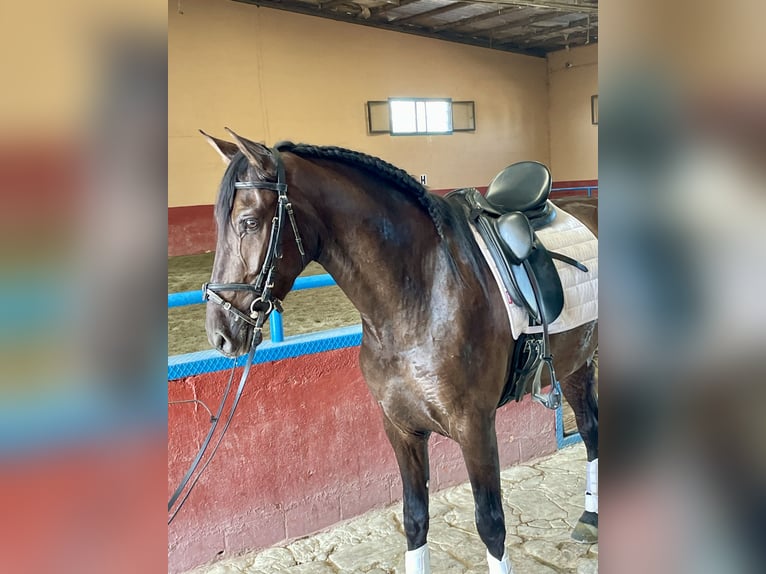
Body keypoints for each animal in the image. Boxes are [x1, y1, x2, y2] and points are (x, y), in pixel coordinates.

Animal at [200, 129, 598, 574]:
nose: (219, 334)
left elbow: (491, 524)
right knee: (590, 429)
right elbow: (415, 518)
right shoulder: (400, 427)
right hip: (577, 363)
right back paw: (589, 517)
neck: (422, 293)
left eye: (249, 222)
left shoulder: (475, 427)